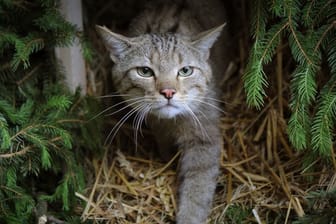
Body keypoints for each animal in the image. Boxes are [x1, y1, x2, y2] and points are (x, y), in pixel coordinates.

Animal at [97, 0, 228, 223]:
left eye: (185, 71)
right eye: (144, 71)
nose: (168, 92)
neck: (170, 122)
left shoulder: (204, 136)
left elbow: (197, 189)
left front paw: (188, 217)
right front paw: (166, 155)